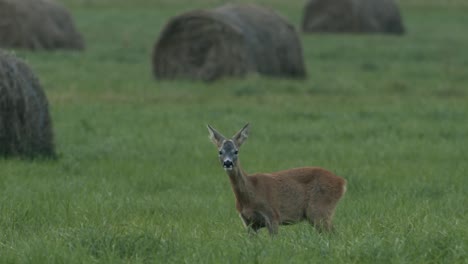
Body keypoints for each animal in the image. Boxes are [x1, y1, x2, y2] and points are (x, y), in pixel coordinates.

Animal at [207, 122, 346, 234]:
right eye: (220, 151)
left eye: (236, 151)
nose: (228, 163)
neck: (250, 194)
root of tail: (342, 182)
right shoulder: (248, 223)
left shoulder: (273, 215)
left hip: (320, 209)